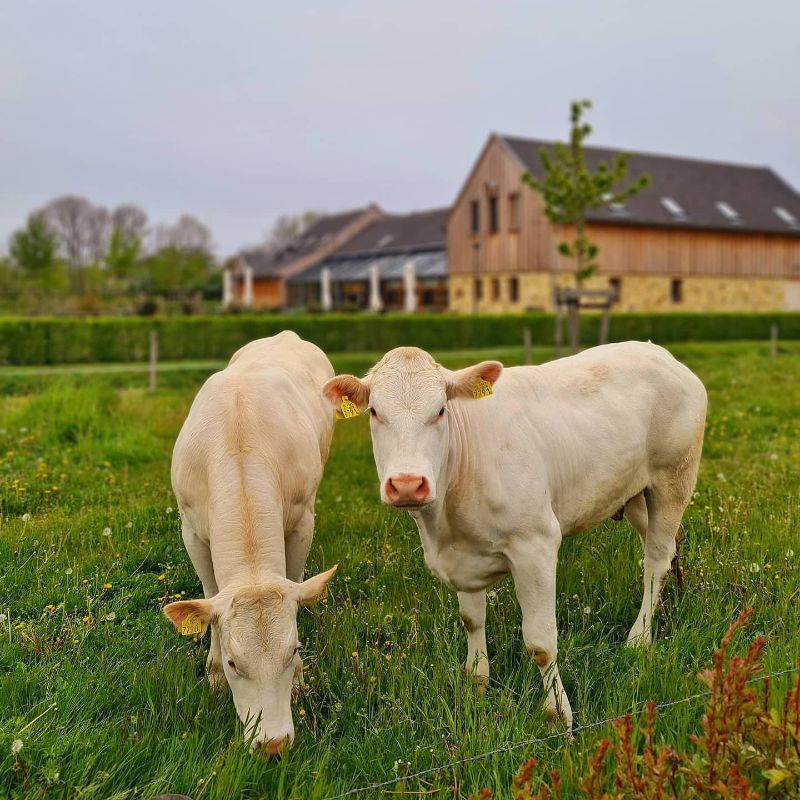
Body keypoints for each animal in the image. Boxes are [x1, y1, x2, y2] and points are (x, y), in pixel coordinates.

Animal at [164, 330, 336, 752]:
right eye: (232, 662)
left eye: (294, 650)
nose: (272, 744)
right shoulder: (190, 527)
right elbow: (209, 592)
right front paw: (211, 674)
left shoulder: (302, 519)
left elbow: (295, 576)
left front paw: (300, 680)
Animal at [324, 340, 708, 728]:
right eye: (374, 412)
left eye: (441, 410)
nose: (406, 484)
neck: (442, 526)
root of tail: (658, 352)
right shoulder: (462, 557)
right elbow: (471, 621)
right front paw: (476, 684)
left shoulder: (535, 544)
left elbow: (540, 643)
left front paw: (559, 715)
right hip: (632, 493)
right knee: (664, 547)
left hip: (673, 479)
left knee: (655, 559)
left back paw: (639, 637)